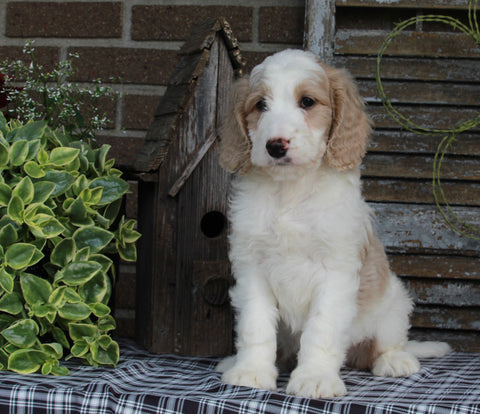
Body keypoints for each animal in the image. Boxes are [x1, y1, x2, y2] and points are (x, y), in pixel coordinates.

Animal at [217, 50, 450, 400]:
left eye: (307, 102)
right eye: (260, 105)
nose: (275, 146)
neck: (292, 191)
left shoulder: (336, 271)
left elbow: (320, 329)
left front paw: (314, 377)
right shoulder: (251, 268)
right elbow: (255, 325)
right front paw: (251, 372)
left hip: (393, 302)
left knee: (385, 344)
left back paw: (394, 360)